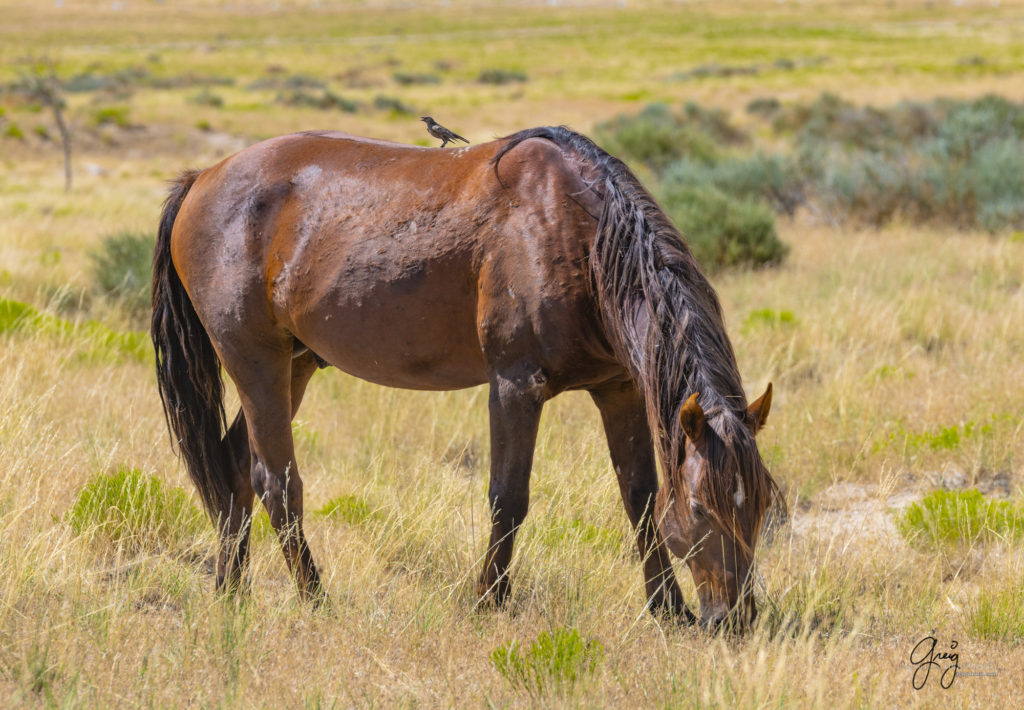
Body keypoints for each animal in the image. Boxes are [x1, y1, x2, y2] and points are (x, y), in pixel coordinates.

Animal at [149, 124, 782, 627]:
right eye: (700, 510)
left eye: (760, 505)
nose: (734, 619)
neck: (576, 232)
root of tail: (202, 178)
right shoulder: (515, 385)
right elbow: (508, 497)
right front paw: (488, 602)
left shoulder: (617, 389)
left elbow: (641, 499)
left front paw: (667, 610)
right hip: (254, 360)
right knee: (276, 483)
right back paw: (314, 599)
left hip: (295, 364)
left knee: (234, 469)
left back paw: (231, 593)